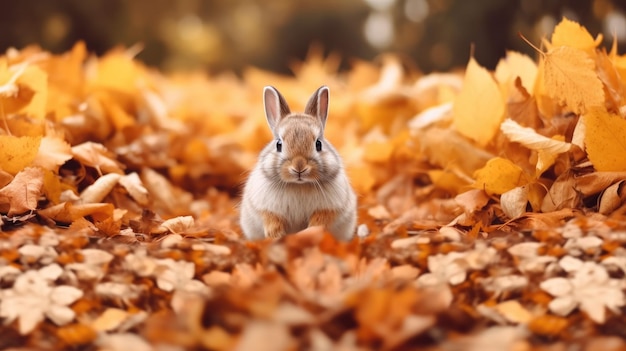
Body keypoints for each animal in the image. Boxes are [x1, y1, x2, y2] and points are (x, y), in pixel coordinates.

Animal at [239, 85, 356, 242]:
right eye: (279, 144)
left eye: (318, 144)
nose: (299, 167)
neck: (298, 185)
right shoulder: (267, 209)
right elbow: (272, 221)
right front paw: (276, 236)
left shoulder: (328, 209)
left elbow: (319, 221)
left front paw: (307, 234)